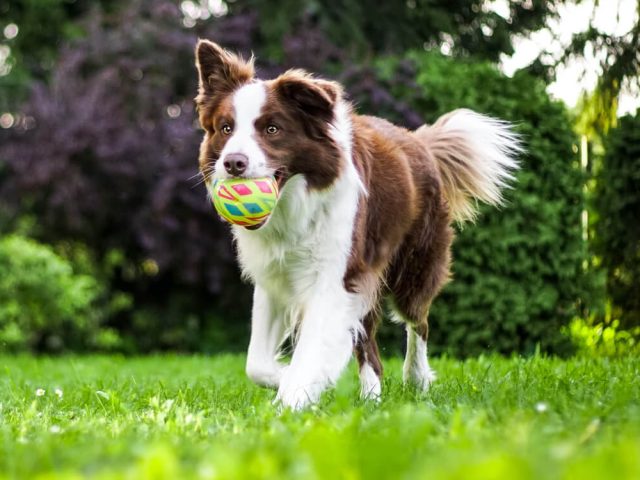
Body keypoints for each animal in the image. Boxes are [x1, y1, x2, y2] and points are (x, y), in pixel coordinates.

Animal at [194, 40, 520, 408]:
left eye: (272, 129)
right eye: (226, 128)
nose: (233, 163)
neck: (294, 205)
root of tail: (419, 141)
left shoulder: (335, 276)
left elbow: (312, 348)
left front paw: (294, 397)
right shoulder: (275, 277)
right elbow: (256, 364)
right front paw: (288, 379)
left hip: (413, 266)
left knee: (418, 322)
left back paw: (416, 378)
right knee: (369, 345)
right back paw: (372, 397)